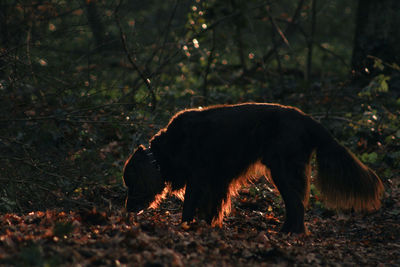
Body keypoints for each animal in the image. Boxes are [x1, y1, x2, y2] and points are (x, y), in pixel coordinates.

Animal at [122, 103, 384, 233]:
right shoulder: (217, 182)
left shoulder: (199, 177)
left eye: (130, 184)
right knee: (295, 206)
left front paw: (186, 227)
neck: (164, 151)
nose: (126, 210)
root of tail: (310, 121)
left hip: (283, 170)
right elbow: (212, 208)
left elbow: (189, 206)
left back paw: (290, 234)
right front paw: (208, 228)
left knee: (297, 206)